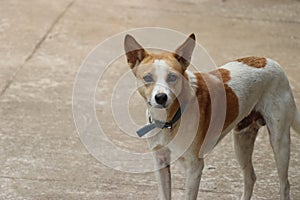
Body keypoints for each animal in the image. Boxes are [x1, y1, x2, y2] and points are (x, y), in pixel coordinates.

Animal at [123, 33, 300, 199]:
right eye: (147, 78)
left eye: (172, 77)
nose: (161, 97)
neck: (170, 120)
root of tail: (268, 60)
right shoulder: (160, 162)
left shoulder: (194, 167)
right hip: (242, 141)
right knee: (250, 177)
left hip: (279, 143)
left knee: (285, 184)